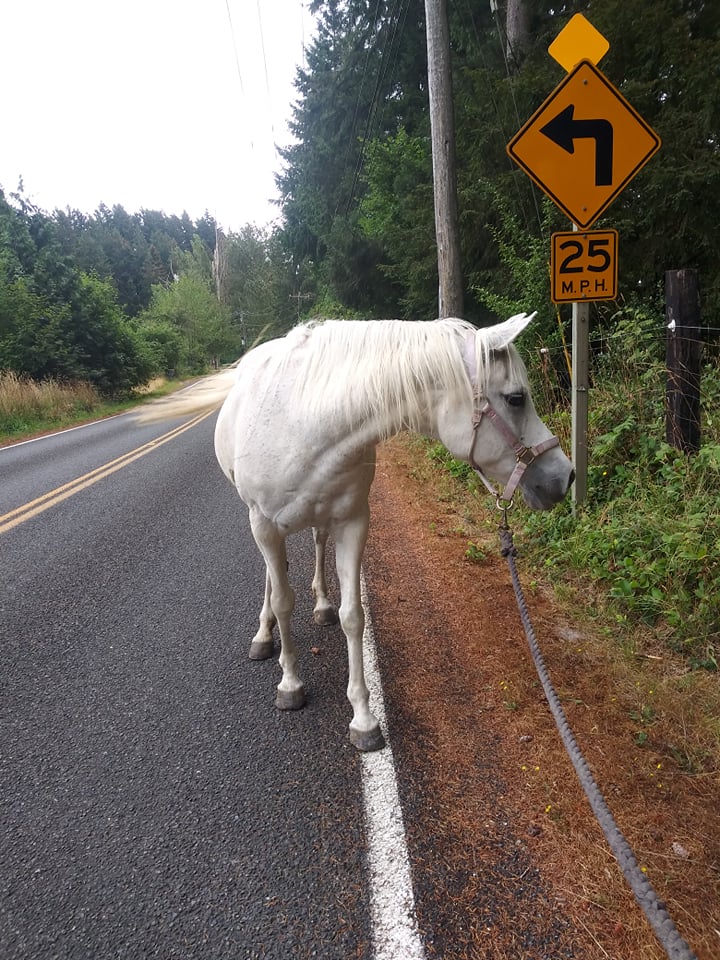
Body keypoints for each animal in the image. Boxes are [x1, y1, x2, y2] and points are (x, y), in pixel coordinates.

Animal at [214, 316, 572, 752]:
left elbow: (353, 616)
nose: (565, 476)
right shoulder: (264, 524)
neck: (303, 425)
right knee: (273, 573)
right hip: (259, 522)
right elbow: (283, 601)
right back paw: (264, 634)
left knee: (316, 546)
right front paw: (290, 683)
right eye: (516, 398)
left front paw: (364, 719)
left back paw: (320, 605)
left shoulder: (352, 523)